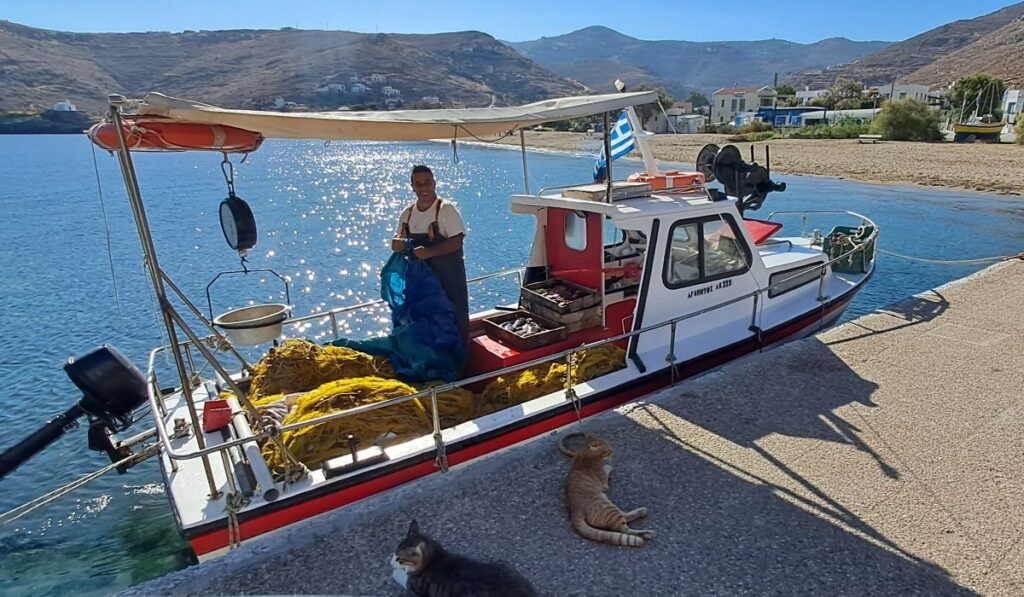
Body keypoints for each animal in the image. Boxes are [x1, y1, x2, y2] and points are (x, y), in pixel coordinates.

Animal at [389, 520, 540, 593]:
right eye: (394, 554)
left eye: (399, 559)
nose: (390, 563)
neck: (435, 557)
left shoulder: (415, 588)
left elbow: (401, 577)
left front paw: (396, 572)